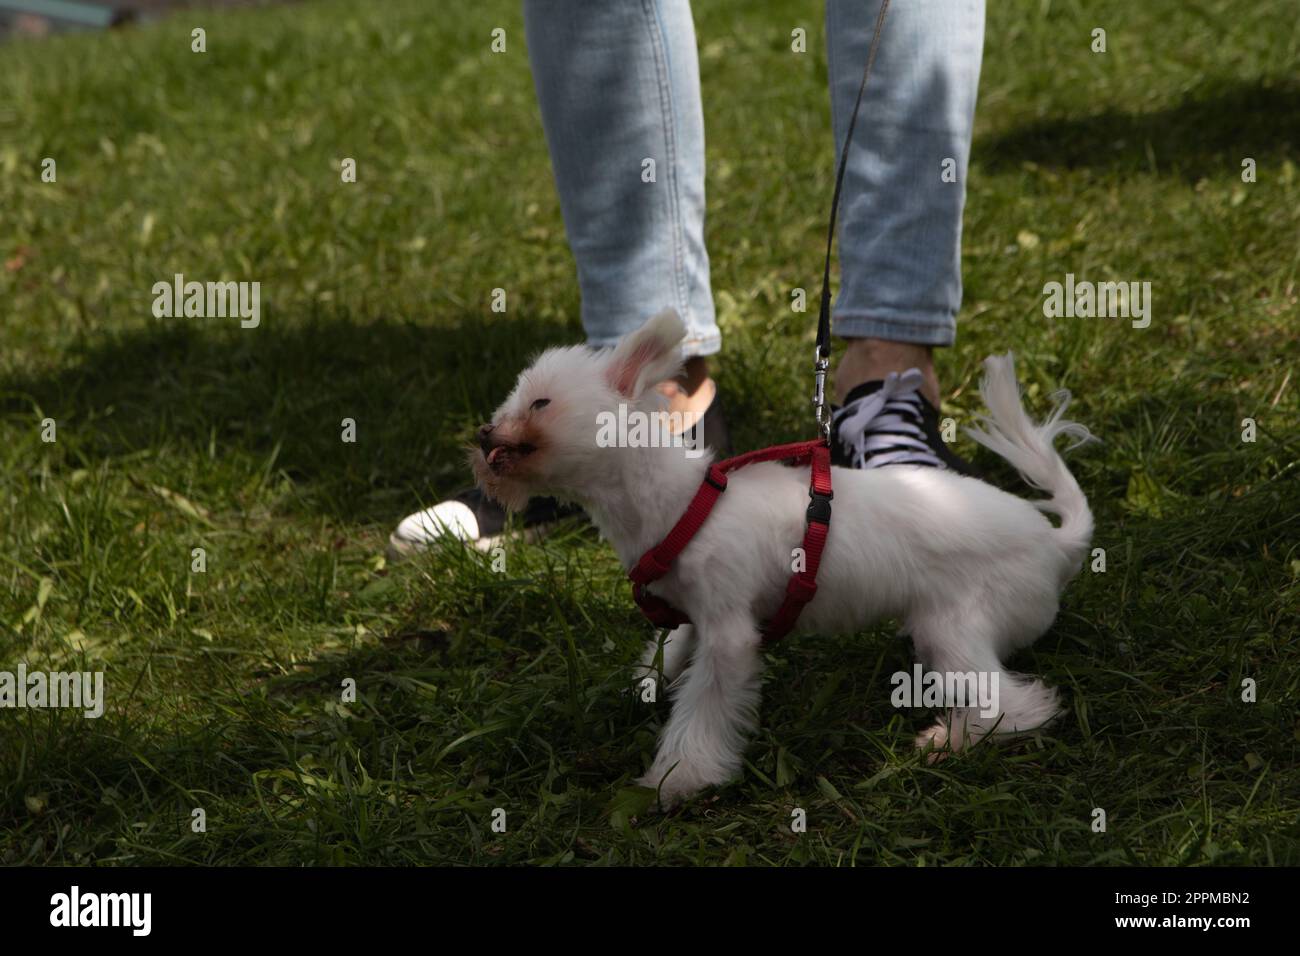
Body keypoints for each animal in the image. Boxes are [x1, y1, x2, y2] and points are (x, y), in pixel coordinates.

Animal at [473, 310, 1092, 806]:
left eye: (540, 403)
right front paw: (645, 687)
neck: (679, 502)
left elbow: (703, 709)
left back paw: (949, 740)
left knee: (1020, 705)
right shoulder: (694, 614)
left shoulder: (728, 633)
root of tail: (1056, 542)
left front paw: (680, 777)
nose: (481, 433)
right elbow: (668, 653)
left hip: (954, 629)